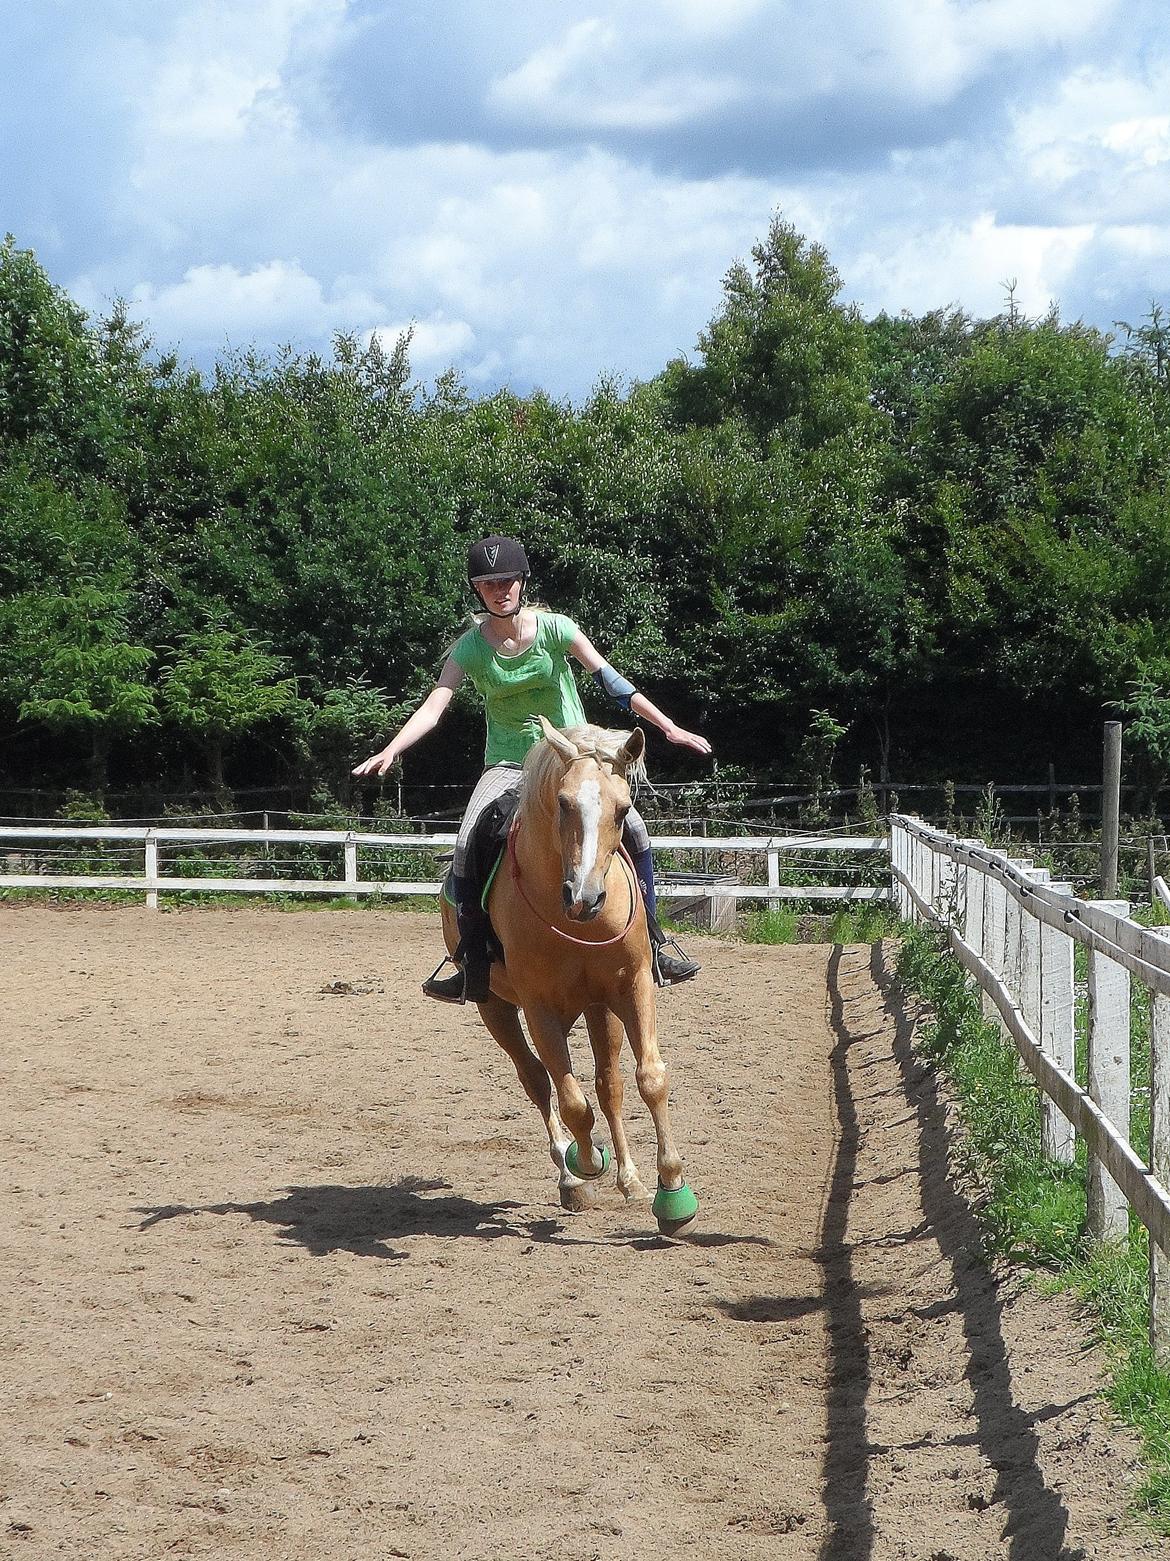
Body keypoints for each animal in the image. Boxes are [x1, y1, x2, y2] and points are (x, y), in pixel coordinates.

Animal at [436, 714, 695, 1236]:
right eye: (563, 802)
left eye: (623, 809)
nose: (584, 897)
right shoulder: (539, 1010)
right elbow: (572, 1101)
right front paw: (586, 1162)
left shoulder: (632, 987)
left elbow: (649, 1079)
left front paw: (672, 1191)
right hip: (496, 1009)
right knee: (537, 1081)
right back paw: (571, 1176)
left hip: (598, 1008)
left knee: (608, 1086)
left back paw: (630, 1180)